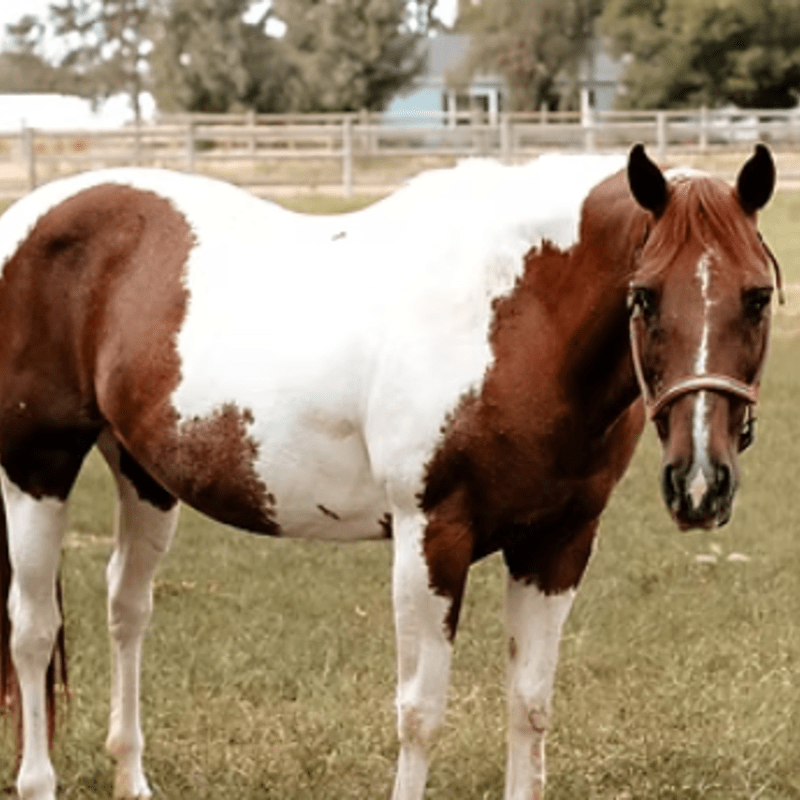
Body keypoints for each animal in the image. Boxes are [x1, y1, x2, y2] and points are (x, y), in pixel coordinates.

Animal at [0, 143, 778, 800]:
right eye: (644, 295)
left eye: (759, 296)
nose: (700, 483)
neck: (516, 317)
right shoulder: (431, 535)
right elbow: (421, 712)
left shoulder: (557, 544)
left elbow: (530, 704)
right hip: (37, 469)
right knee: (33, 630)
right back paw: (37, 780)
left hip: (143, 476)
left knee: (126, 609)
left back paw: (131, 775)